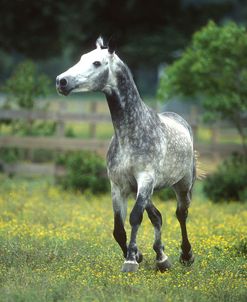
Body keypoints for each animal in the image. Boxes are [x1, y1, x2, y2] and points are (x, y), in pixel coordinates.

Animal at [55, 37, 195, 274]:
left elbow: (135, 217)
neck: (131, 133)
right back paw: (161, 258)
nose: (61, 81)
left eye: (96, 63)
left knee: (180, 214)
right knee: (157, 216)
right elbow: (118, 229)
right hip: (145, 190)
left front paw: (130, 261)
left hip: (181, 184)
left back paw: (186, 255)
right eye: (81, 58)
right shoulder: (118, 186)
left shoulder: (145, 180)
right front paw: (137, 255)